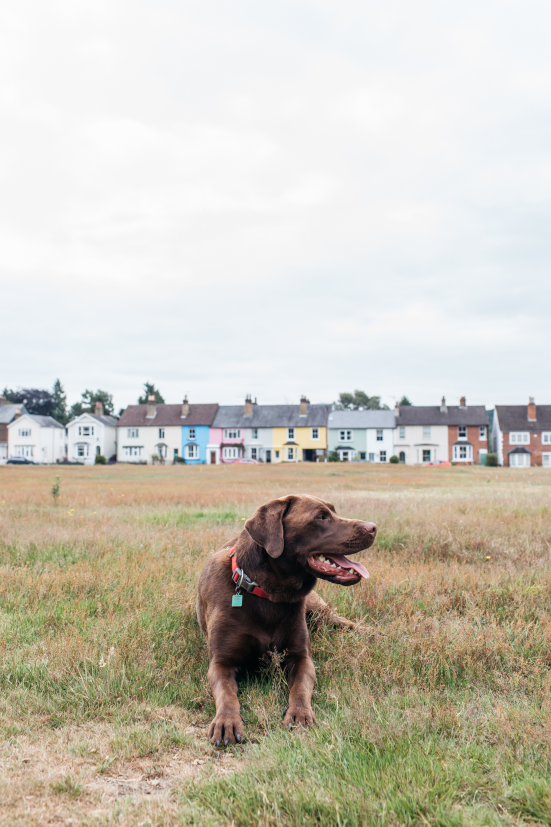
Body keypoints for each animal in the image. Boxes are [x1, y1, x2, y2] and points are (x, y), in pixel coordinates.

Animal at [196, 494, 378, 748]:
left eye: (333, 512)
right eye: (321, 516)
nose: (373, 527)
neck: (267, 594)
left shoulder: (301, 657)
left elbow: (300, 687)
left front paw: (300, 714)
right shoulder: (221, 662)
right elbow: (226, 694)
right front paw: (227, 721)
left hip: (319, 610)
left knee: (343, 622)